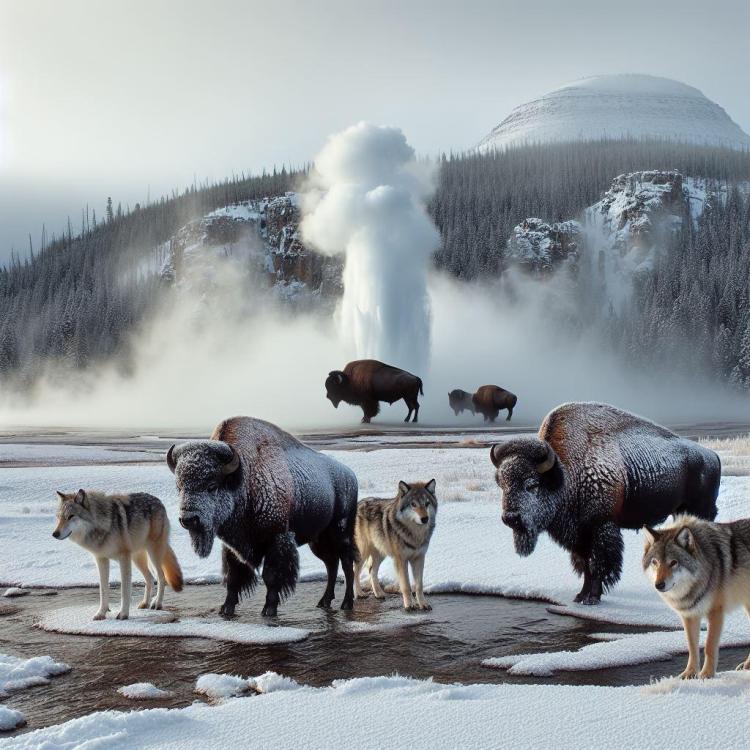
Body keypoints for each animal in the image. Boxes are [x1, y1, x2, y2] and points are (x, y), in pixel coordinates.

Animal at [53, 489, 183, 621]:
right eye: (59, 517)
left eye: (70, 516)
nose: (54, 534)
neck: (103, 524)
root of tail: (158, 501)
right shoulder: (101, 559)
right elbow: (103, 589)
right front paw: (101, 613)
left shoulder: (123, 558)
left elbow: (124, 590)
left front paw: (123, 614)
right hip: (137, 558)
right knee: (150, 578)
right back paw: (145, 603)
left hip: (152, 554)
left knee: (161, 577)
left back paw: (157, 603)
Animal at [168, 416, 358, 617]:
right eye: (179, 487)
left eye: (212, 486)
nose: (188, 519)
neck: (243, 478)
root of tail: (350, 475)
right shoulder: (233, 545)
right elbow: (233, 576)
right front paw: (226, 608)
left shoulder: (277, 538)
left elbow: (271, 576)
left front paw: (269, 609)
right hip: (318, 540)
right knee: (331, 565)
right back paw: (324, 602)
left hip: (341, 533)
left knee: (347, 564)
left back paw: (346, 603)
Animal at [354, 480, 437, 611]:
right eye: (413, 504)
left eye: (427, 503)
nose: (425, 518)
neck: (415, 533)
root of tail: (359, 502)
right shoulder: (401, 560)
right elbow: (406, 585)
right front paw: (409, 605)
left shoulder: (419, 558)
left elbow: (419, 586)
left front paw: (423, 604)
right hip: (363, 553)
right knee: (355, 571)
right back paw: (359, 593)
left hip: (380, 553)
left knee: (372, 571)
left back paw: (379, 594)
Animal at [490, 402, 720, 604]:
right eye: (502, 484)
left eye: (532, 485)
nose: (510, 517)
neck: (564, 473)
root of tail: (712, 456)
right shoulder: (580, 536)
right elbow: (585, 566)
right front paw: (581, 596)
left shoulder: (600, 527)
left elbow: (598, 565)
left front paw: (592, 598)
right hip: (681, 511)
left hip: (701, 510)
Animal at [643, 515, 750, 679]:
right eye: (655, 562)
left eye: (673, 563)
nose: (659, 585)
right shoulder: (689, 616)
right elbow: (692, 647)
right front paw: (690, 673)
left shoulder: (715, 613)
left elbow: (709, 646)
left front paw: (707, 674)